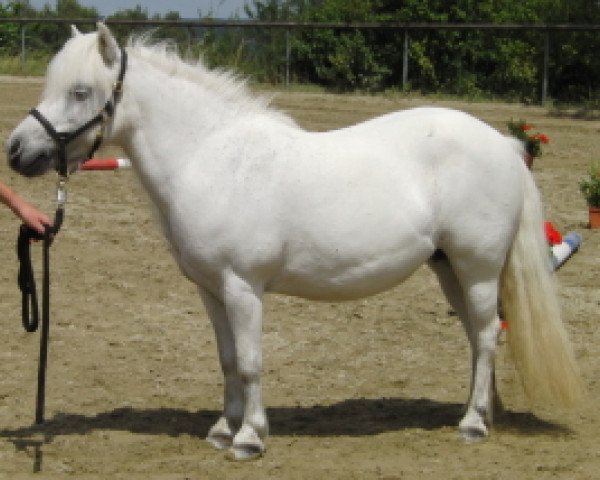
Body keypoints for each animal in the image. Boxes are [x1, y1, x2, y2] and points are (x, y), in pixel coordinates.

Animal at [7, 24, 584, 460]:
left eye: (81, 91)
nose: (17, 151)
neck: (213, 158)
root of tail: (503, 143)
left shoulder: (243, 288)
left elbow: (250, 360)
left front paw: (249, 438)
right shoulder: (211, 290)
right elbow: (226, 359)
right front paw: (223, 429)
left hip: (478, 267)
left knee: (486, 335)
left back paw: (472, 424)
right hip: (448, 268)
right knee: (475, 336)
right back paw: (482, 411)